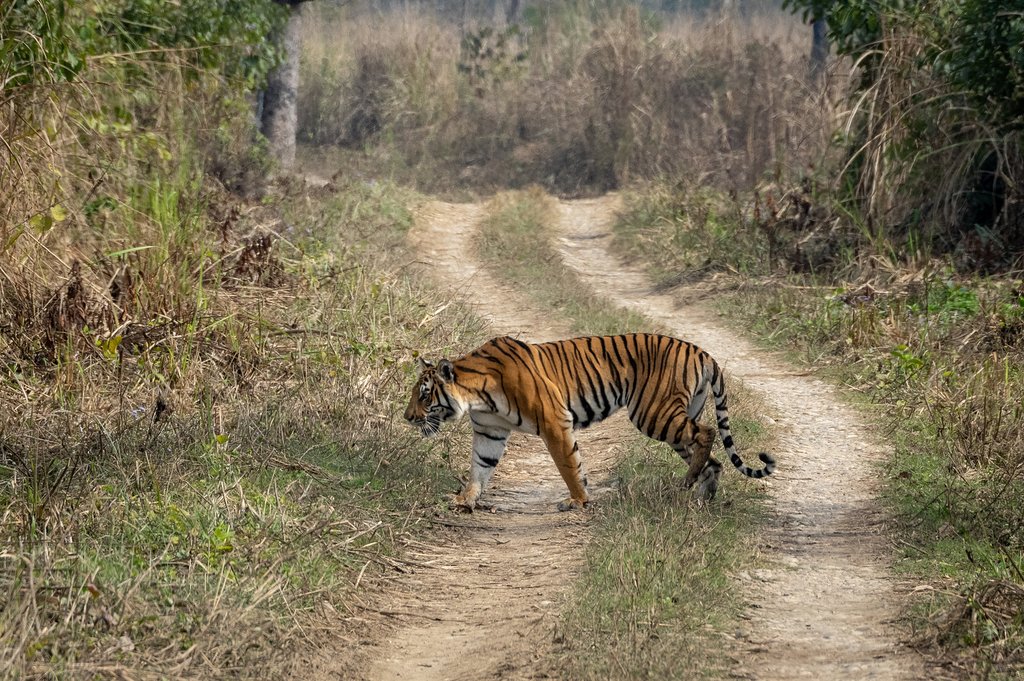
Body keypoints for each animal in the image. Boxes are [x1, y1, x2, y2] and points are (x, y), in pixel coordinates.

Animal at [403, 331, 770, 512]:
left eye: (424, 395)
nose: (407, 417)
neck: (476, 394)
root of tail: (701, 351)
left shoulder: (554, 421)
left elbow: (568, 464)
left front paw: (578, 500)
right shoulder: (489, 431)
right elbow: (480, 468)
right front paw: (465, 500)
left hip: (654, 414)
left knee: (707, 433)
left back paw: (691, 483)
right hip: (675, 420)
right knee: (713, 460)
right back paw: (701, 495)